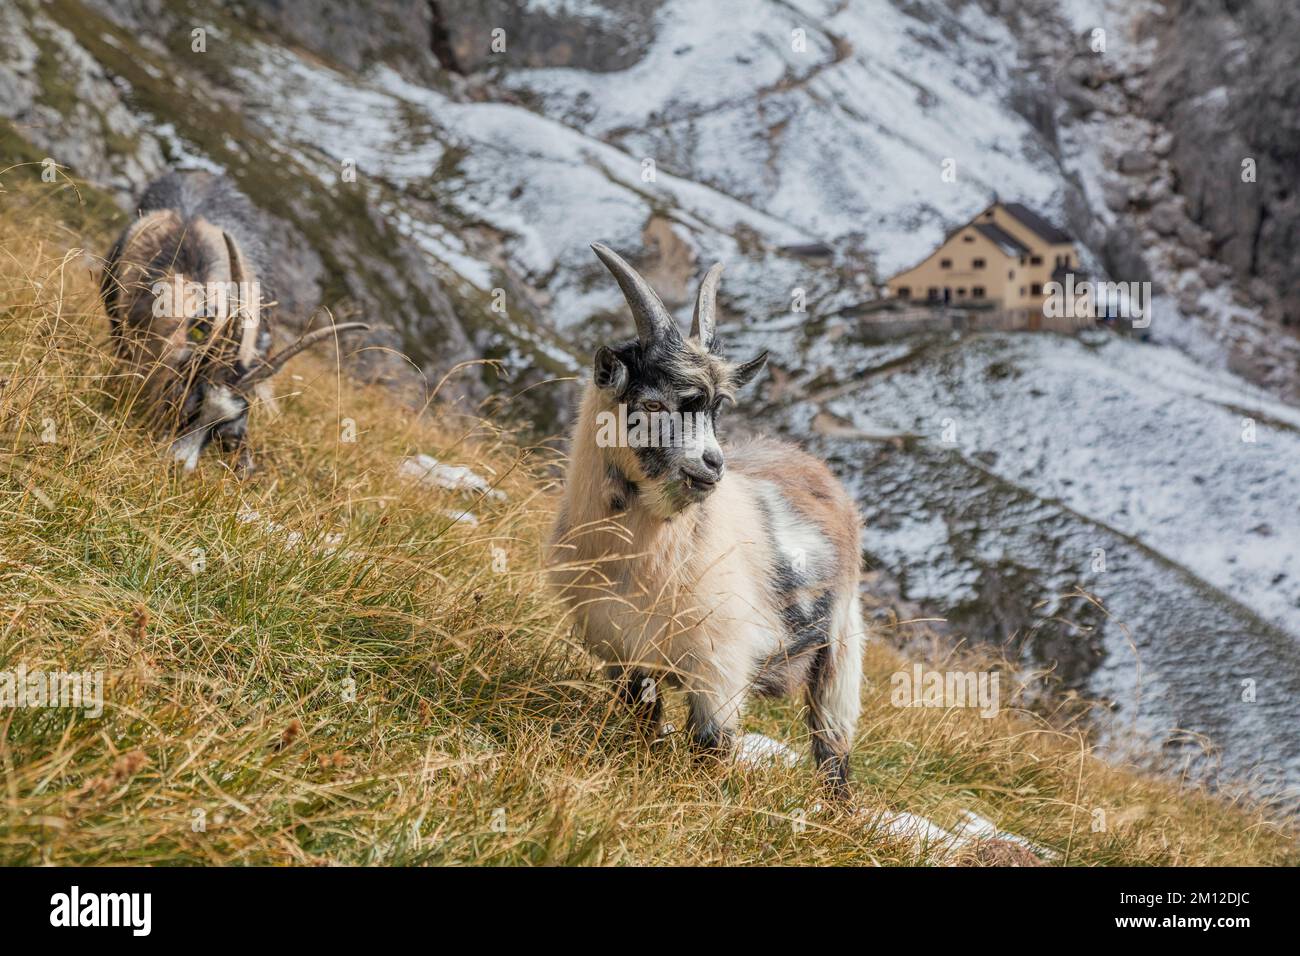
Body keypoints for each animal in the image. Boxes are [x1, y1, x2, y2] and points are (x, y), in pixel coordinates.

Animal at [550, 243, 865, 795]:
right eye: (653, 404)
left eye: (718, 410)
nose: (713, 465)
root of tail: (812, 465)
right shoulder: (623, 654)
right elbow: (643, 721)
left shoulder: (720, 668)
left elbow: (710, 750)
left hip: (841, 651)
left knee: (833, 755)